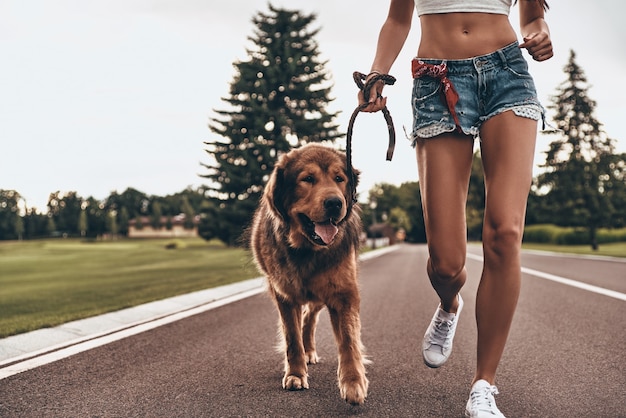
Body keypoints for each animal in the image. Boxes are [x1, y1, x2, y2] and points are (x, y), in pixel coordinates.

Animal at [249, 144, 366, 404]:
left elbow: (348, 340)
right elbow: (292, 338)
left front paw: (353, 382)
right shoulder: (284, 294)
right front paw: (295, 373)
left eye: (339, 178)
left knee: (310, 317)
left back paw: (310, 350)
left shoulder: (343, 292)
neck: (307, 249)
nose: (334, 203)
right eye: (308, 179)